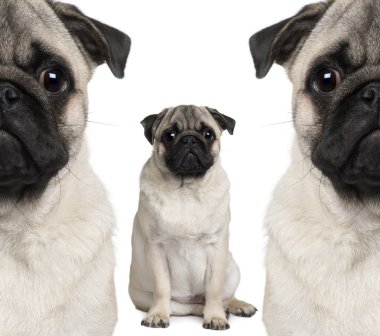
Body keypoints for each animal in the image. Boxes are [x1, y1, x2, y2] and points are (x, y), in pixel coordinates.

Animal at [129, 105, 256, 330]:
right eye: (170, 135)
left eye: (208, 134)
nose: (189, 139)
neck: (186, 189)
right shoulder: (156, 248)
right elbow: (162, 287)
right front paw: (158, 315)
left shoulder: (216, 249)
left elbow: (214, 290)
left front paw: (215, 317)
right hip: (146, 297)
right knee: (187, 307)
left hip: (232, 268)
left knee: (223, 297)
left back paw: (236, 306)